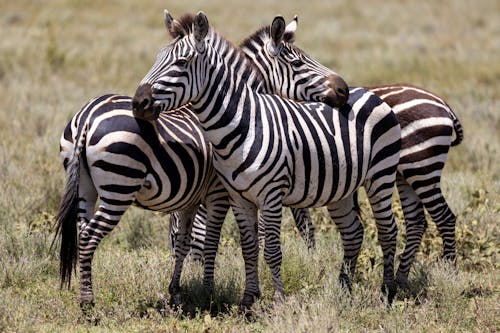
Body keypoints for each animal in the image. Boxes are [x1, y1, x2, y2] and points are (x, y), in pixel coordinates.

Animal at [51, 16, 348, 306]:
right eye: (298, 63)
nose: (343, 89)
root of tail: (86, 117)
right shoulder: (218, 193)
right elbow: (210, 240)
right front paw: (208, 292)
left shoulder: (190, 198)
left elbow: (183, 241)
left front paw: (177, 291)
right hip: (119, 187)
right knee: (89, 236)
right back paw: (88, 302)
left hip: (84, 188)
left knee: (82, 230)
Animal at [133, 11, 402, 306]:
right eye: (158, 58)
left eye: (181, 62)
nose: (137, 103)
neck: (243, 124)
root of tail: (369, 92)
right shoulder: (237, 196)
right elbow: (247, 247)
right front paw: (247, 299)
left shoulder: (267, 195)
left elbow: (266, 247)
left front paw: (277, 300)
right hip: (341, 188)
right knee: (353, 232)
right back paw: (344, 289)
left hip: (380, 176)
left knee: (388, 230)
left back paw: (387, 292)